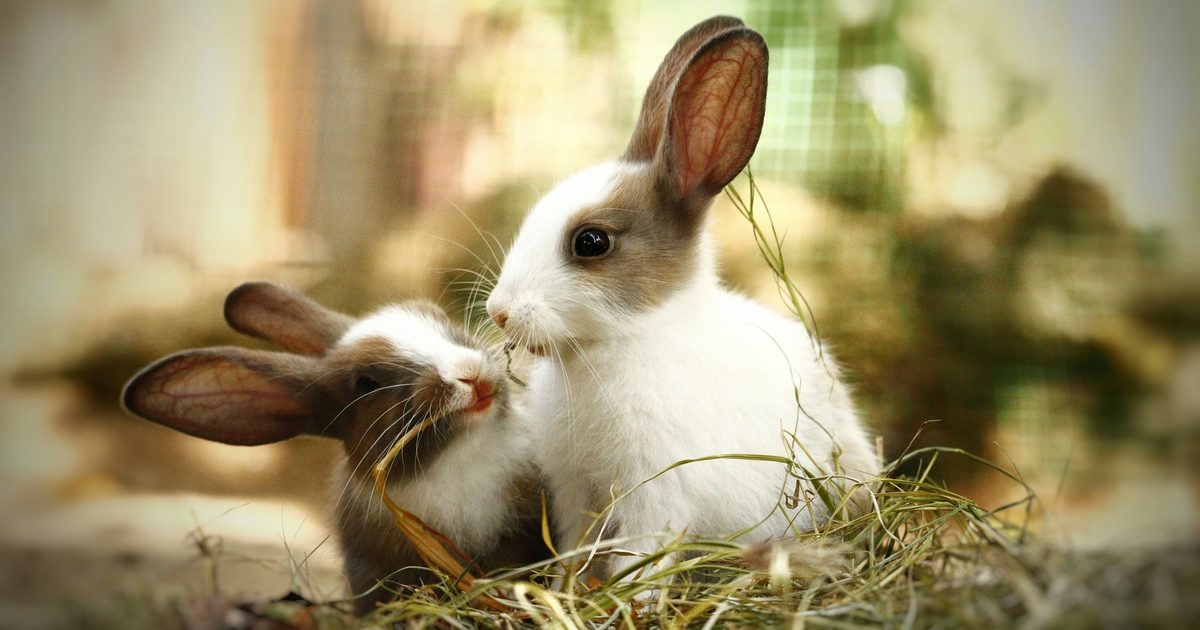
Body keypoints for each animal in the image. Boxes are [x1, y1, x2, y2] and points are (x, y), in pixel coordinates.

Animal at [485, 16, 878, 579]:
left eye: (591, 242)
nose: (499, 312)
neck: (628, 340)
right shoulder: (573, 491)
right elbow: (575, 547)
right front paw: (566, 586)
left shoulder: (654, 494)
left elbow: (639, 558)